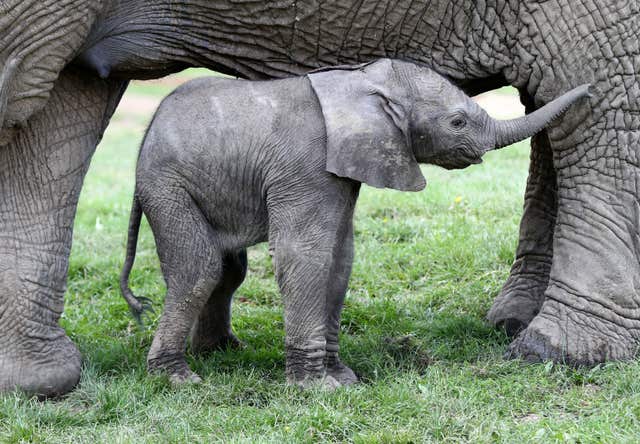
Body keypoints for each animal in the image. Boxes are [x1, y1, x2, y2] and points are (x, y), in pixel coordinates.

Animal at [120, 59, 592, 388]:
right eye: (457, 122)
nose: (589, 91)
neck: (363, 82)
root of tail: (146, 135)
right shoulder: (305, 166)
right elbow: (305, 254)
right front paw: (318, 389)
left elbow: (340, 259)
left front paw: (342, 377)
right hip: (169, 186)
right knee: (198, 268)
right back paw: (178, 377)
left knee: (226, 269)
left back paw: (221, 353)